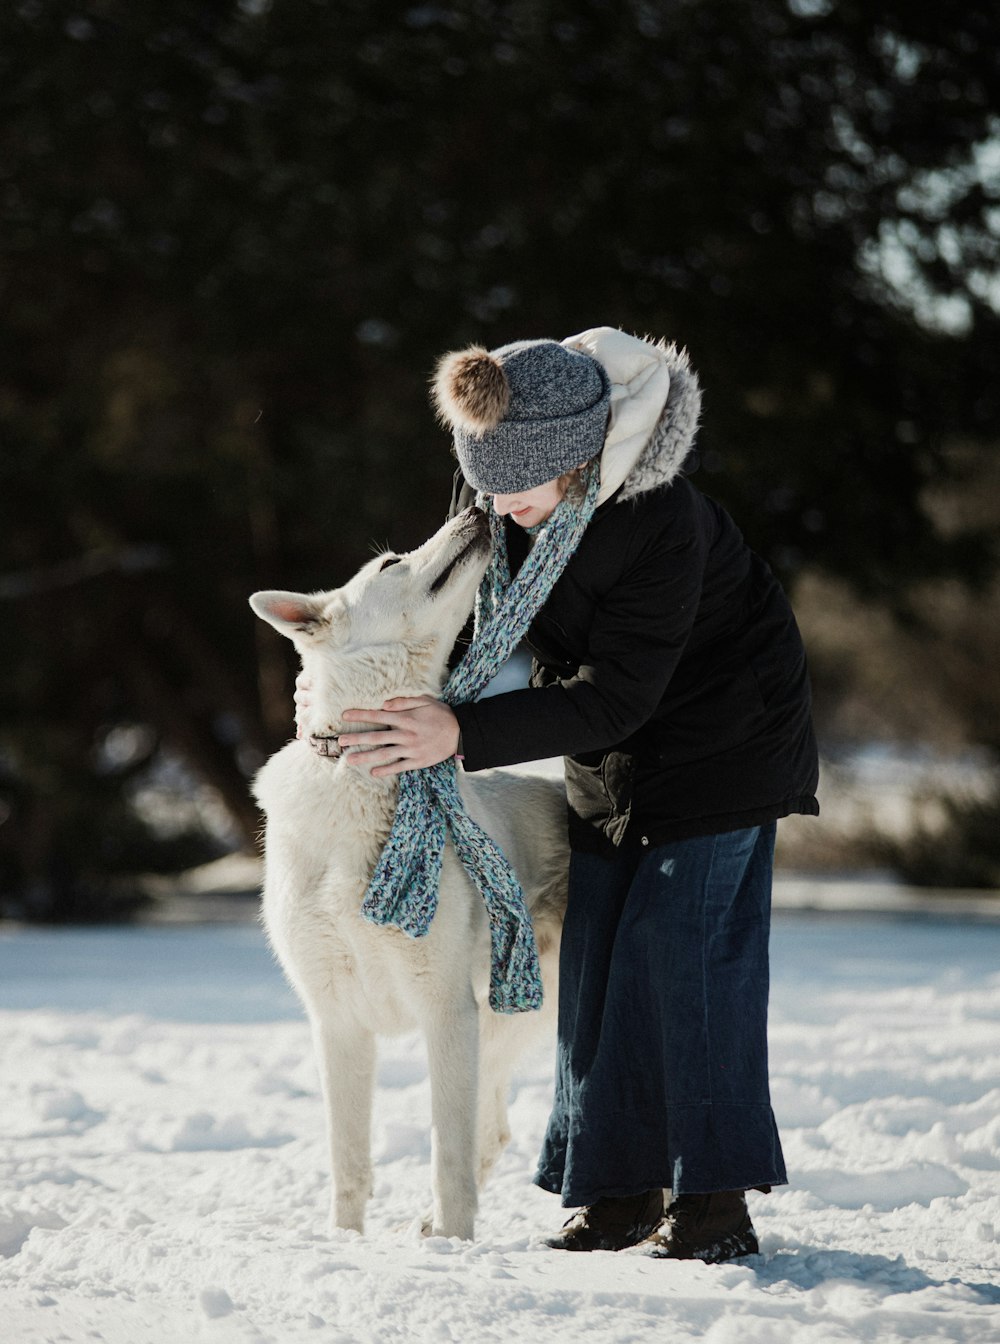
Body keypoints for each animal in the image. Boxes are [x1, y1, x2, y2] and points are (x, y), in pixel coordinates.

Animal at [248, 508, 567, 1241]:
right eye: (391, 562)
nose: (477, 510)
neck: (363, 778)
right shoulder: (337, 1020)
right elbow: (349, 1159)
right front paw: (345, 1243)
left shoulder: (445, 1009)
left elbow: (445, 1153)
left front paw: (452, 1249)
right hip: (499, 1025)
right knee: (495, 1130)